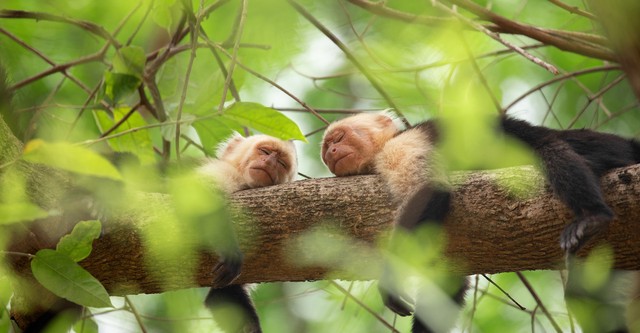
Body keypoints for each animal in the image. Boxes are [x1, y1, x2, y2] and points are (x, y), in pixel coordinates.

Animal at [198, 133, 298, 332]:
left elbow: (221, 296)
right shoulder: (224, 171)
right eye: (265, 151)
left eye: (282, 163)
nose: (269, 162)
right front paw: (230, 253)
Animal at [322, 112, 640, 332]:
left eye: (337, 139)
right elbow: (450, 282)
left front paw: (389, 280)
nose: (330, 153)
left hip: (605, 150)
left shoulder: (401, 147)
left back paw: (593, 216)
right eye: (325, 151)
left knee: (548, 149)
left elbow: (433, 189)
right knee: (582, 294)